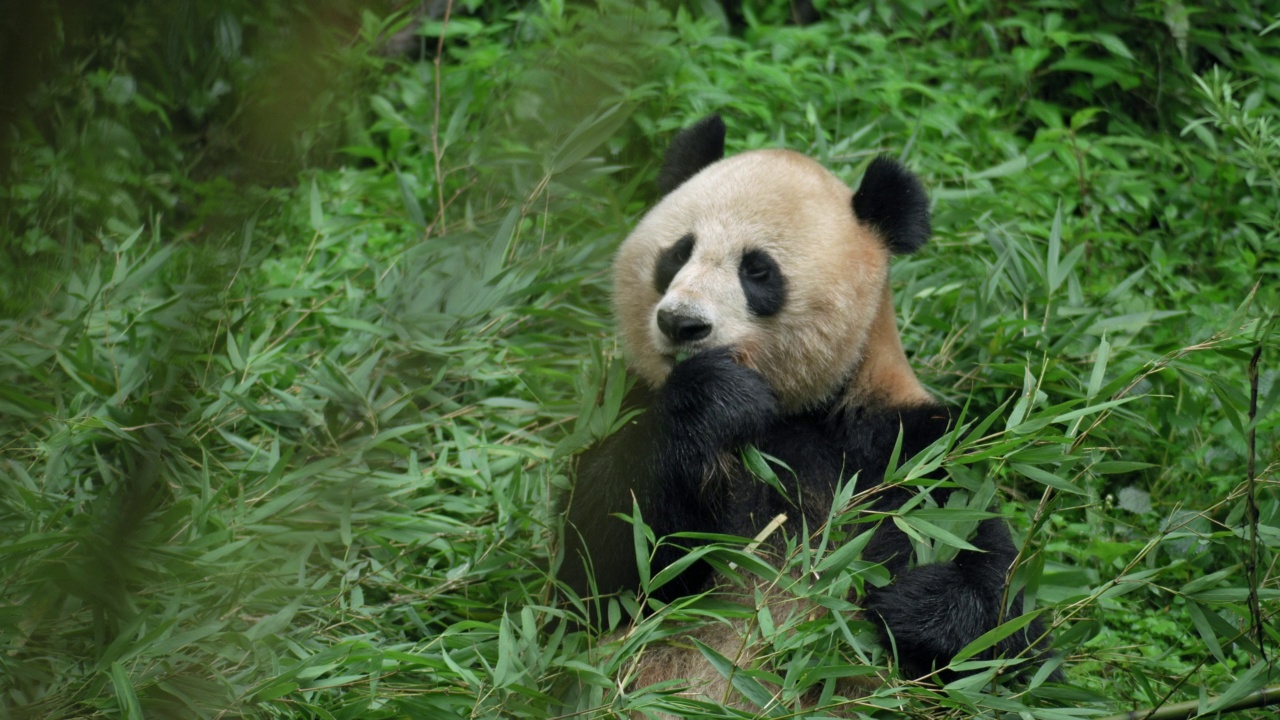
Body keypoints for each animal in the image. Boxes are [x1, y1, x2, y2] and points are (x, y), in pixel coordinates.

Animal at [558, 114, 1049, 702]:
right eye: (677, 252)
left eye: (758, 270)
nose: (681, 323)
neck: (797, 408)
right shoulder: (626, 408)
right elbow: (599, 573)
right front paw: (714, 396)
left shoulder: (916, 449)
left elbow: (1011, 637)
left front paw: (910, 604)